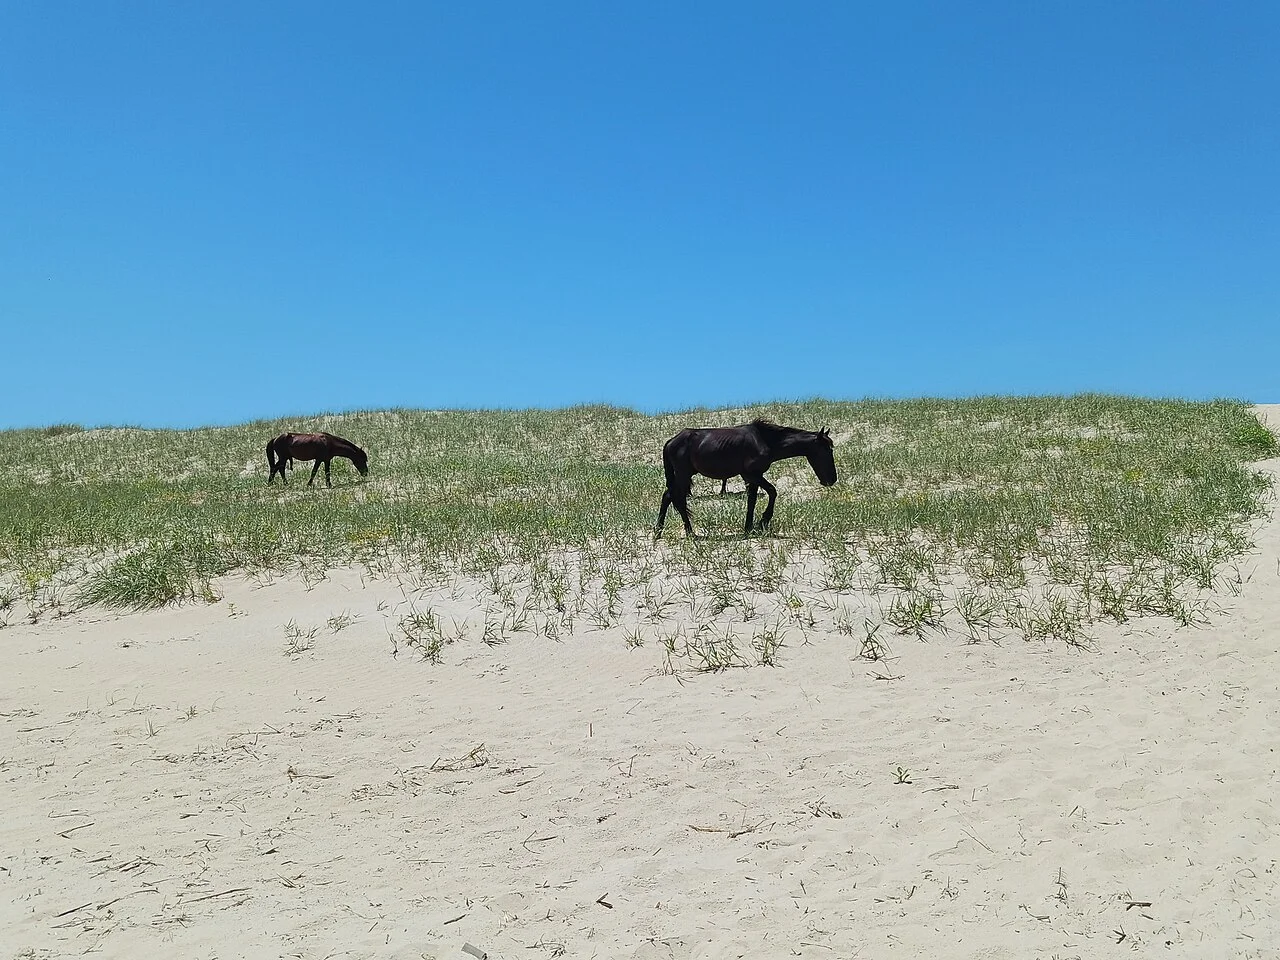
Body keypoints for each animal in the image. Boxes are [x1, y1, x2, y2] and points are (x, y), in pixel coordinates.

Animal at [655, 420, 837, 538]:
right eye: (826, 450)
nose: (832, 479)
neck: (764, 440)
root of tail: (671, 441)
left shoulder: (752, 478)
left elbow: (752, 501)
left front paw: (749, 528)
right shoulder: (752, 475)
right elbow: (772, 491)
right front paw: (763, 521)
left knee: (669, 497)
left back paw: (659, 531)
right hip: (683, 475)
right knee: (675, 498)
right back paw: (689, 532)